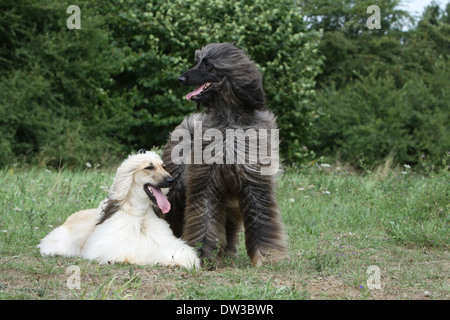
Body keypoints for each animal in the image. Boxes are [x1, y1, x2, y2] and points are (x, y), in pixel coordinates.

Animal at [37, 151, 200, 268]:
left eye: (163, 167)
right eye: (149, 167)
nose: (171, 180)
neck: (139, 216)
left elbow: (178, 252)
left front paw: (179, 260)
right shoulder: (111, 246)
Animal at [162, 42, 288, 268]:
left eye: (208, 65)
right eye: (197, 61)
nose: (180, 79)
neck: (229, 121)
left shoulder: (255, 183)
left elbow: (262, 221)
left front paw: (267, 256)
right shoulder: (206, 182)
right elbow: (204, 221)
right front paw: (202, 256)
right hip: (176, 186)